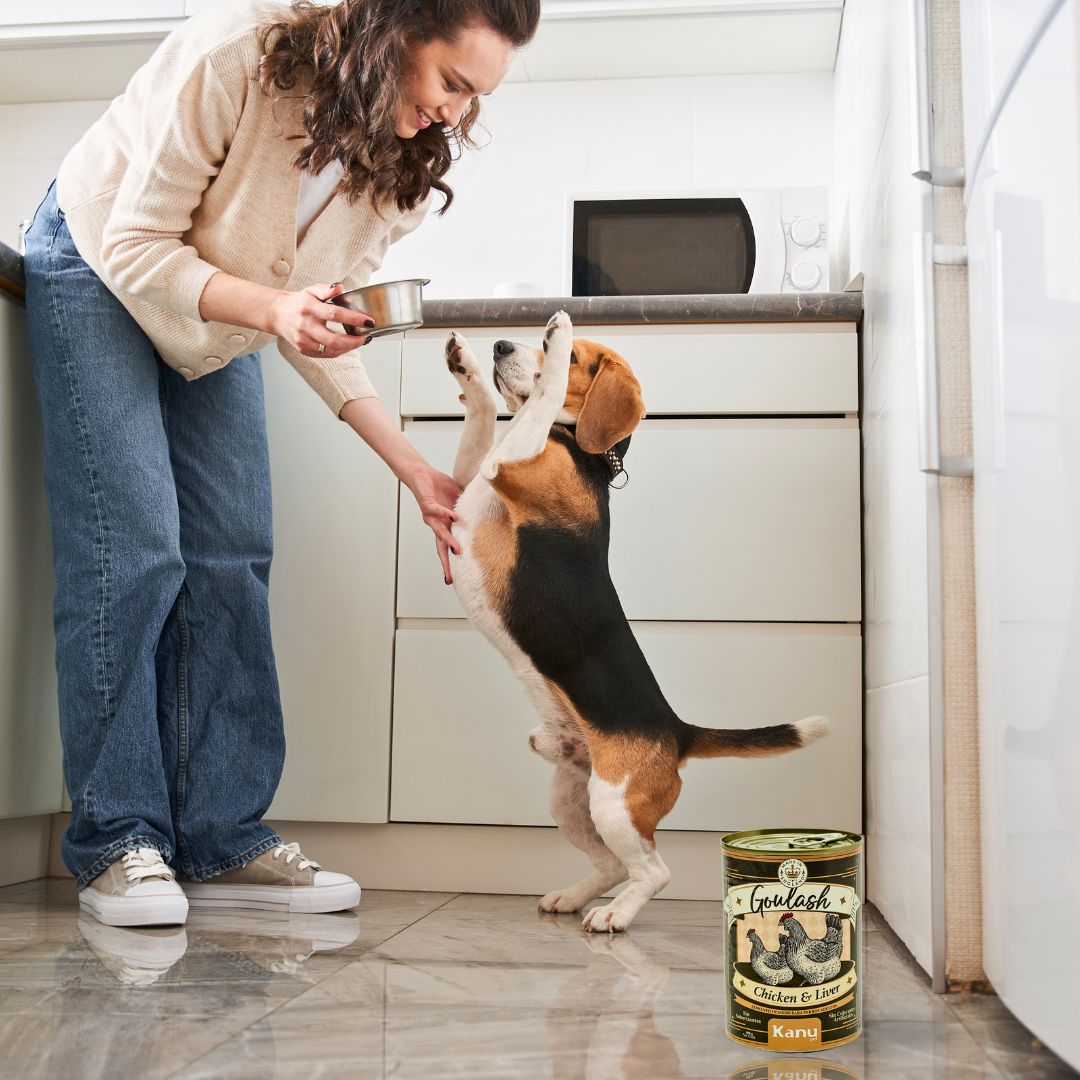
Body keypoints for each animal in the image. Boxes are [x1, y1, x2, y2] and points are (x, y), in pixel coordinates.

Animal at [442, 308, 829, 933]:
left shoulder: (505, 465)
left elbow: (541, 398)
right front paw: (466, 367)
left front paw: (558, 337)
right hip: (572, 798)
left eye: (577, 358)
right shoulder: (467, 484)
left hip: (615, 805)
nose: (498, 343)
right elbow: (481, 417)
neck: (581, 452)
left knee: (653, 871)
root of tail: (677, 730)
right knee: (611, 866)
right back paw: (575, 898)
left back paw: (615, 916)